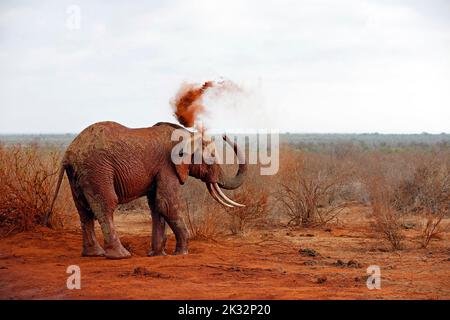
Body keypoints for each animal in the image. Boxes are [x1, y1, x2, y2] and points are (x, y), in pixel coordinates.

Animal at [44, 121, 248, 258]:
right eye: (211, 158)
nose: (224, 135)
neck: (187, 135)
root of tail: (69, 153)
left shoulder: (158, 170)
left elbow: (157, 206)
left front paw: (157, 254)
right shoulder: (167, 166)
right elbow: (167, 204)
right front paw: (181, 253)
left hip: (78, 174)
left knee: (83, 210)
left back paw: (94, 254)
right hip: (97, 169)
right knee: (105, 206)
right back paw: (121, 255)